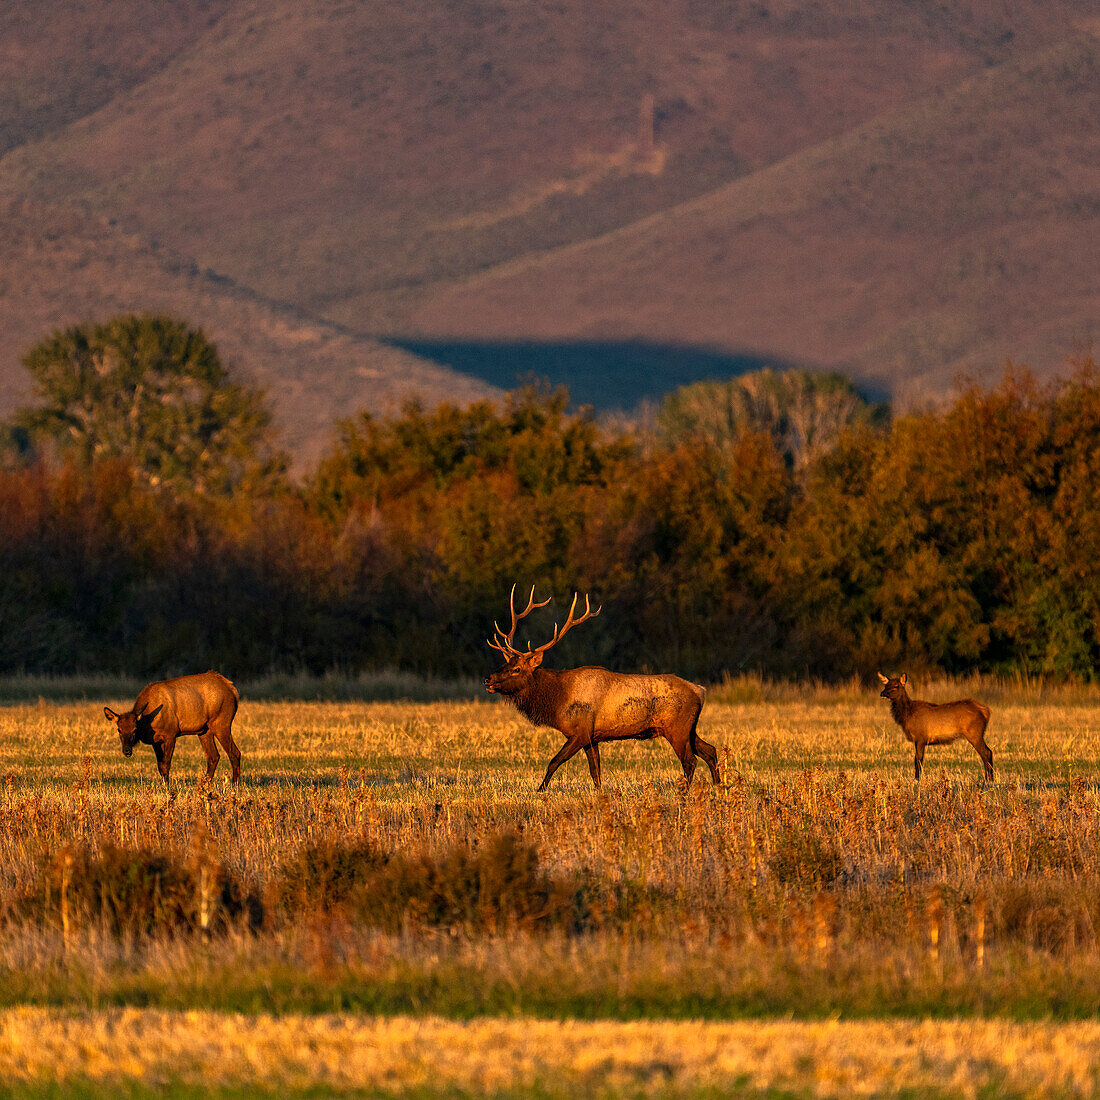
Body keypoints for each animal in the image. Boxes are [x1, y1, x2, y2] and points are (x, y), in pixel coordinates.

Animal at [103, 664, 242, 787]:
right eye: (119, 730)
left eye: (134, 729)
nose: (126, 751)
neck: (148, 721)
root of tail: (232, 689)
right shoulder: (155, 740)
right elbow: (160, 766)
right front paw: (164, 786)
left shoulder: (171, 733)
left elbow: (166, 764)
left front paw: (168, 788)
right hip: (204, 730)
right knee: (213, 756)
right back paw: (204, 785)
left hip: (221, 723)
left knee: (234, 753)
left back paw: (234, 786)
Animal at [484, 585, 721, 792]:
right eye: (505, 663)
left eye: (516, 669)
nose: (487, 679)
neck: (558, 699)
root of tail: (700, 690)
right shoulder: (592, 737)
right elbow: (595, 770)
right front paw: (599, 794)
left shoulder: (580, 731)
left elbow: (555, 761)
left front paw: (540, 790)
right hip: (689, 728)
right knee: (710, 750)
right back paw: (719, 786)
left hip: (677, 728)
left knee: (690, 760)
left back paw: (685, 792)